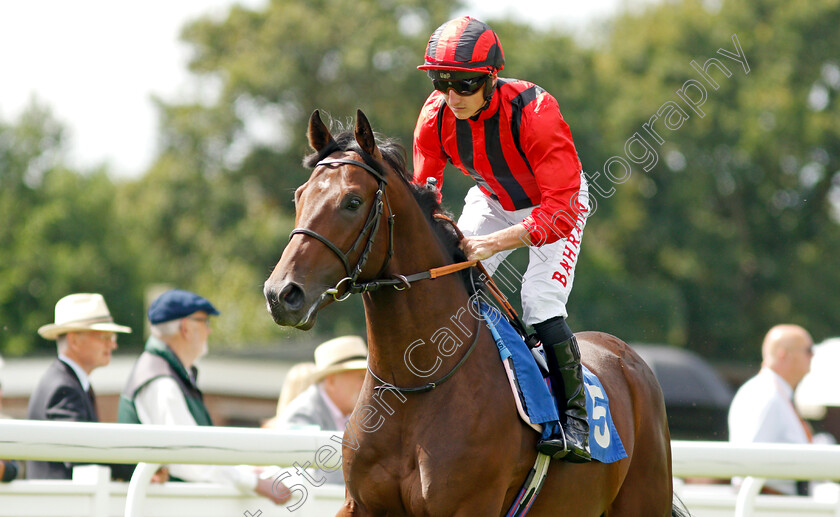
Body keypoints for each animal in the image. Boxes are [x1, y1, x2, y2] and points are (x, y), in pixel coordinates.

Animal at [264, 110, 688, 516]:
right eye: (299, 197)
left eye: (352, 201)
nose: (281, 293)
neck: (414, 385)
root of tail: (628, 357)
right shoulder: (361, 505)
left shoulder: (469, 505)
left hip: (643, 500)